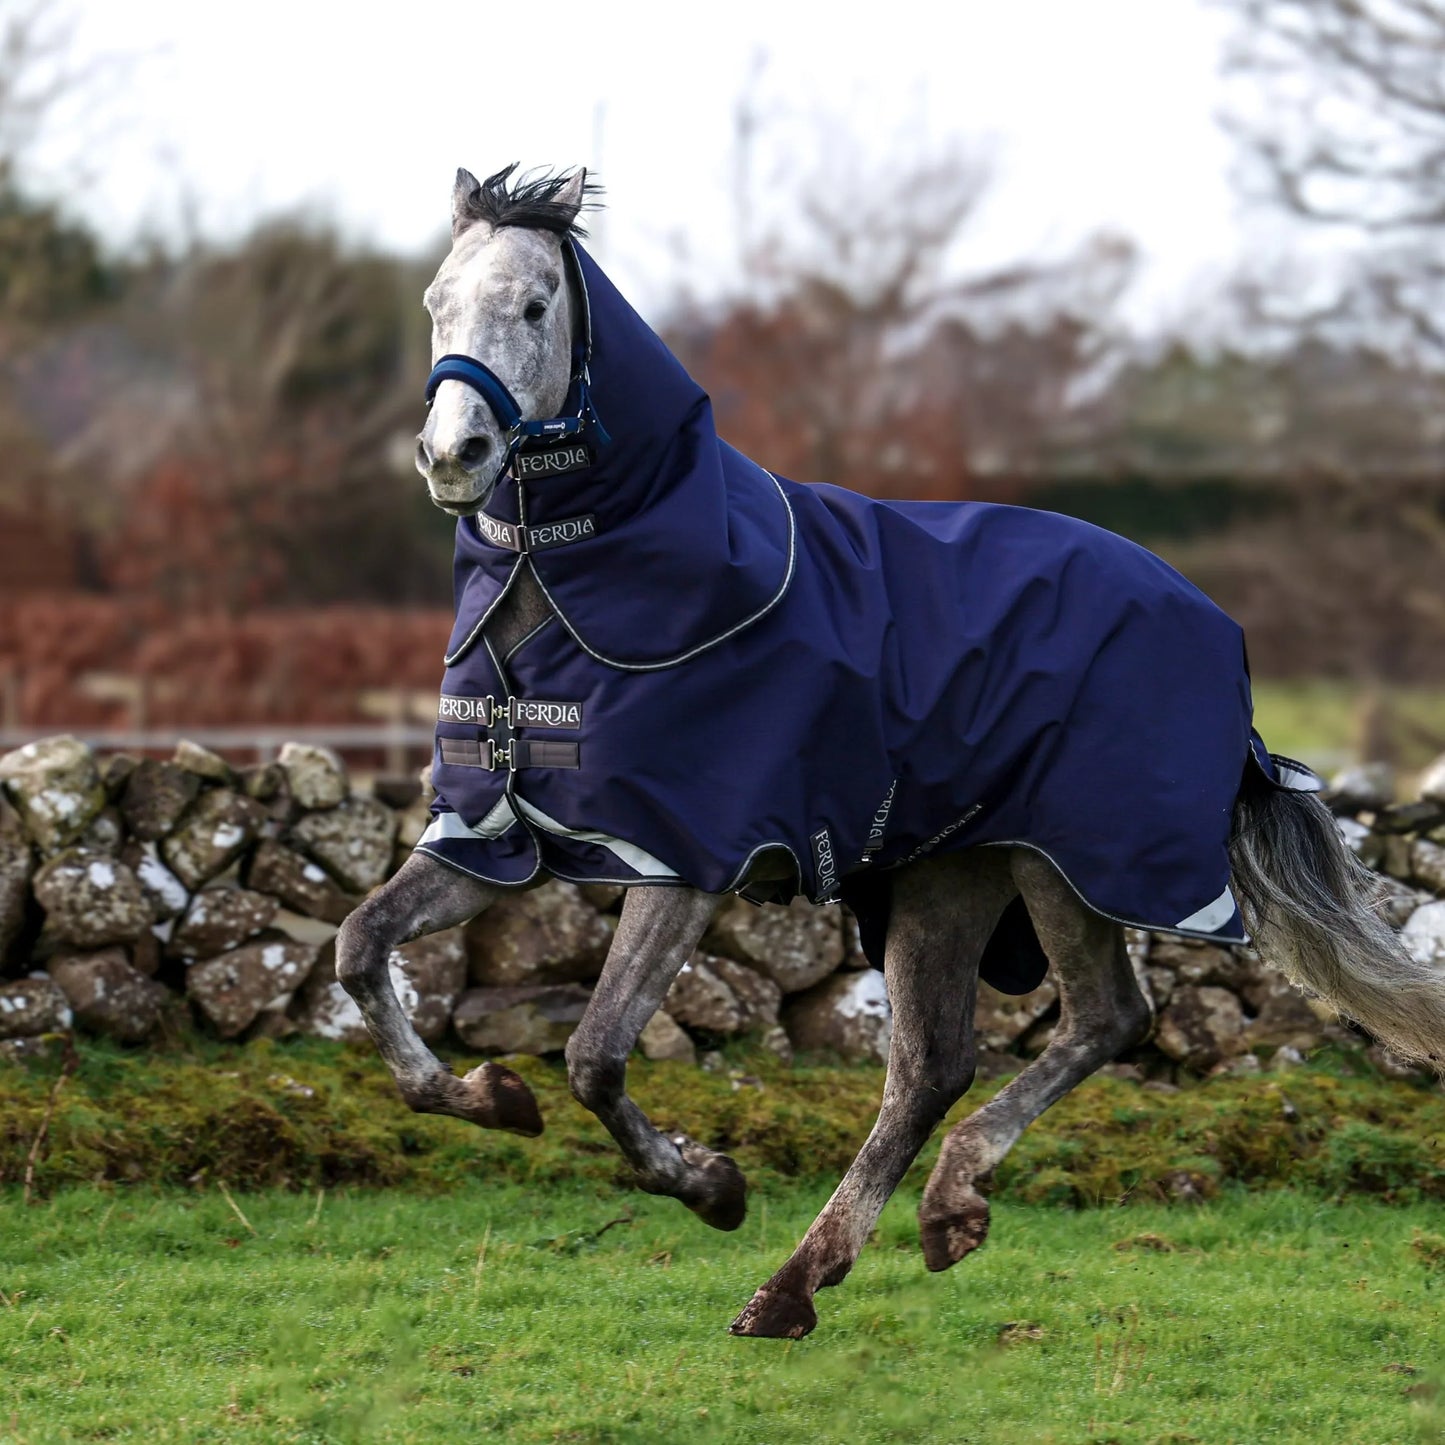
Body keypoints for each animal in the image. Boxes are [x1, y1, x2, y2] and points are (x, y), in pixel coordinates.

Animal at [336, 164, 1445, 1340]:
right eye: (434, 305)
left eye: (536, 306)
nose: (451, 456)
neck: (561, 594)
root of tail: (1209, 621)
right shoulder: (494, 836)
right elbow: (360, 947)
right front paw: (487, 1097)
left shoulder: (682, 859)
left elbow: (593, 1053)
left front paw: (710, 1185)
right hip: (948, 873)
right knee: (947, 1060)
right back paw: (844, 1259)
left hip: (1062, 861)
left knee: (1101, 1020)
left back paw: (861, 1242)